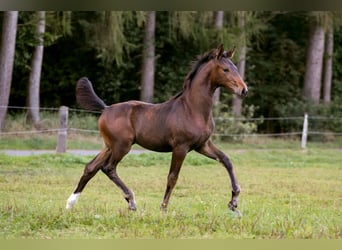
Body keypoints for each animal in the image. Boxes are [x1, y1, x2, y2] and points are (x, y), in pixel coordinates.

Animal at [66, 44, 248, 216]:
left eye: (235, 68)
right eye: (225, 69)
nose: (244, 90)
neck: (192, 109)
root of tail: (106, 108)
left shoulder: (202, 145)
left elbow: (226, 160)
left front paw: (234, 202)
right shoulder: (181, 147)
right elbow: (172, 177)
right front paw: (163, 208)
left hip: (109, 146)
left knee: (91, 168)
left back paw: (70, 203)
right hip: (122, 146)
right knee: (108, 168)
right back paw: (131, 201)